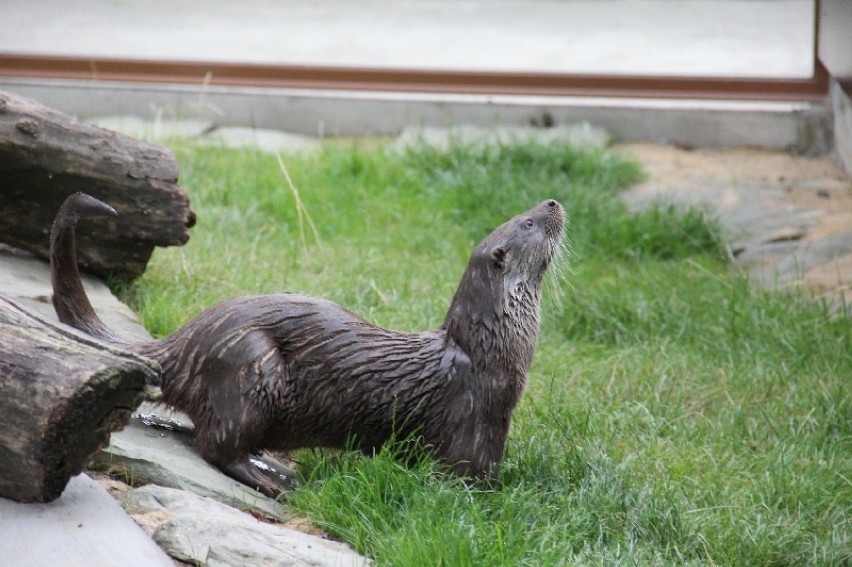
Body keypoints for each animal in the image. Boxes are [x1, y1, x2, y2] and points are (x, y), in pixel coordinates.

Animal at [51, 193, 564, 494]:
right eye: (528, 223)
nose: (554, 202)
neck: (488, 348)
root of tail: (189, 340)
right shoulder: (477, 420)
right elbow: (468, 480)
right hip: (250, 363)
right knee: (216, 445)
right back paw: (273, 481)